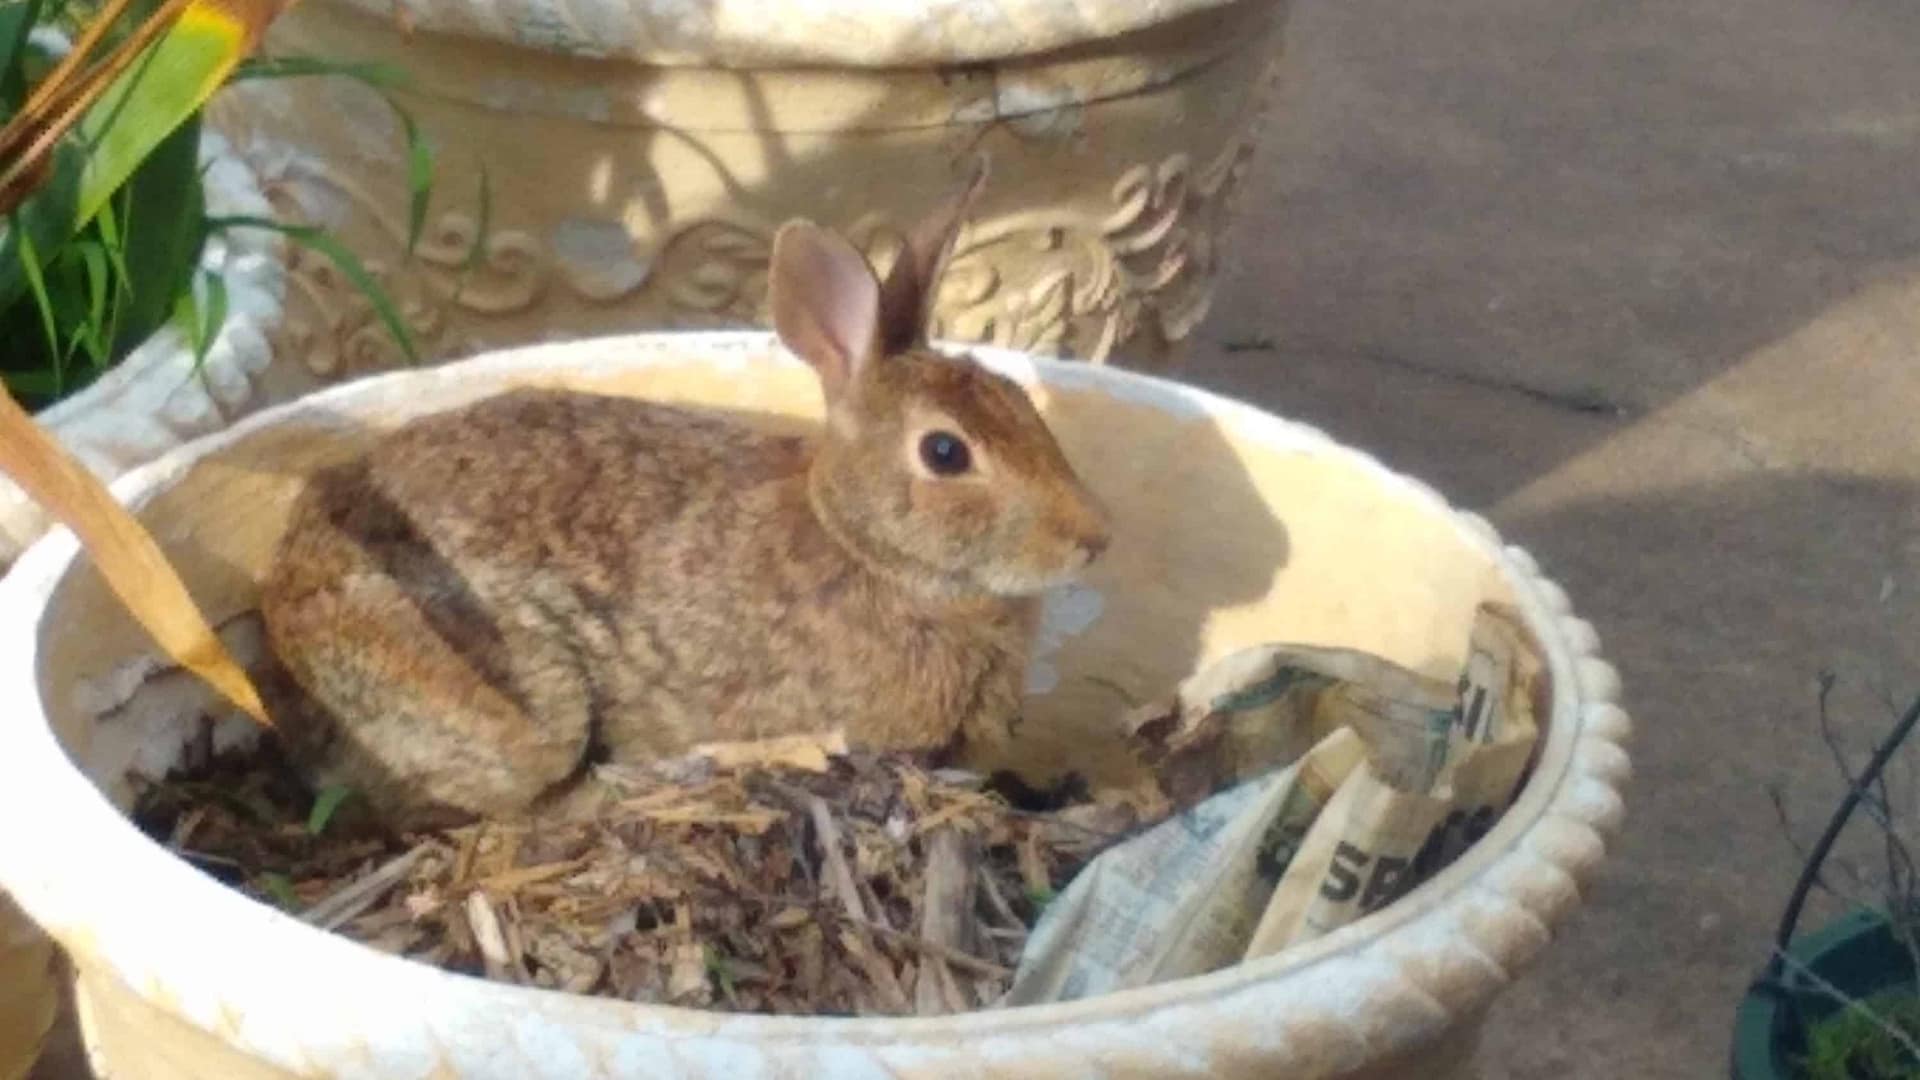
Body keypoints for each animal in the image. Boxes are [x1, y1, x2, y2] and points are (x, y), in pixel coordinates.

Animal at [257, 162, 1112, 826]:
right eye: (945, 452)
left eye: (1020, 401)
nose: (1093, 539)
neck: (864, 548)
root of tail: (284, 601)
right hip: (501, 694)